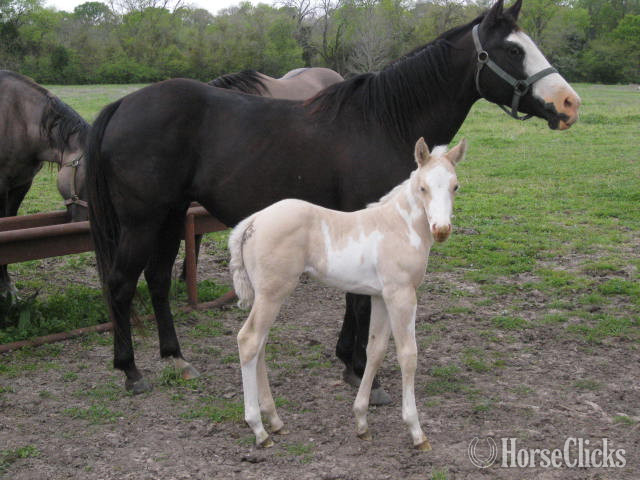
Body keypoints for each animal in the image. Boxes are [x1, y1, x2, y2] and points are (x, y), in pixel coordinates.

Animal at [85, 0, 580, 397]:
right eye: (513, 50)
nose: (570, 104)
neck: (385, 121)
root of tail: (124, 104)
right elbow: (359, 300)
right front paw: (363, 372)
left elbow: (353, 295)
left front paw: (348, 361)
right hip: (143, 221)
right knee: (121, 284)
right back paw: (130, 371)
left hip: (169, 217)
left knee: (157, 282)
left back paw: (175, 358)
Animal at [230, 137, 466, 449]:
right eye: (423, 187)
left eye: (455, 186)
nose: (441, 230)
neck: (400, 226)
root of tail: (253, 221)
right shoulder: (401, 294)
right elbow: (408, 355)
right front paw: (416, 432)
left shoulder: (380, 296)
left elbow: (375, 350)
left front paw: (362, 422)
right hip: (272, 294)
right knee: (249, 340)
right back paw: (259, 429)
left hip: (268, 296)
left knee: (260, 345)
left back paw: (276, 421)